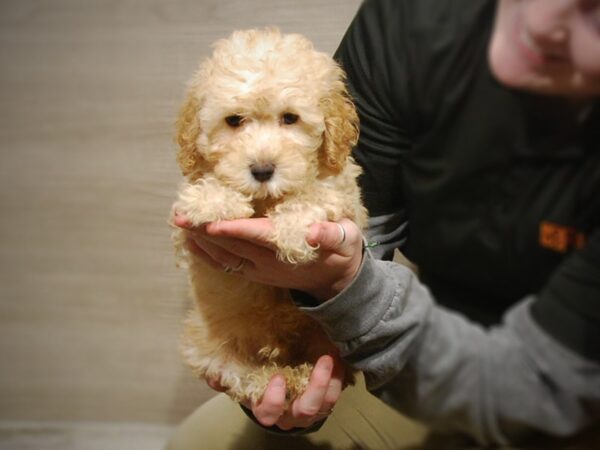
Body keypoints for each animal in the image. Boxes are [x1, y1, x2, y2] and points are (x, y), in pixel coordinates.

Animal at [171, 28, 368, 406]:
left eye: (290, 118)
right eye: (234, 120)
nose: (262, 171)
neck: (265, 200)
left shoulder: (344, 191)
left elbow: (316, 194)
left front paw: (292, 231)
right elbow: (204, 188)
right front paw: (211, 199)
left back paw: (302, 377)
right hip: (209, 343)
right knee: (240, 375)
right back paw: (275, 381)